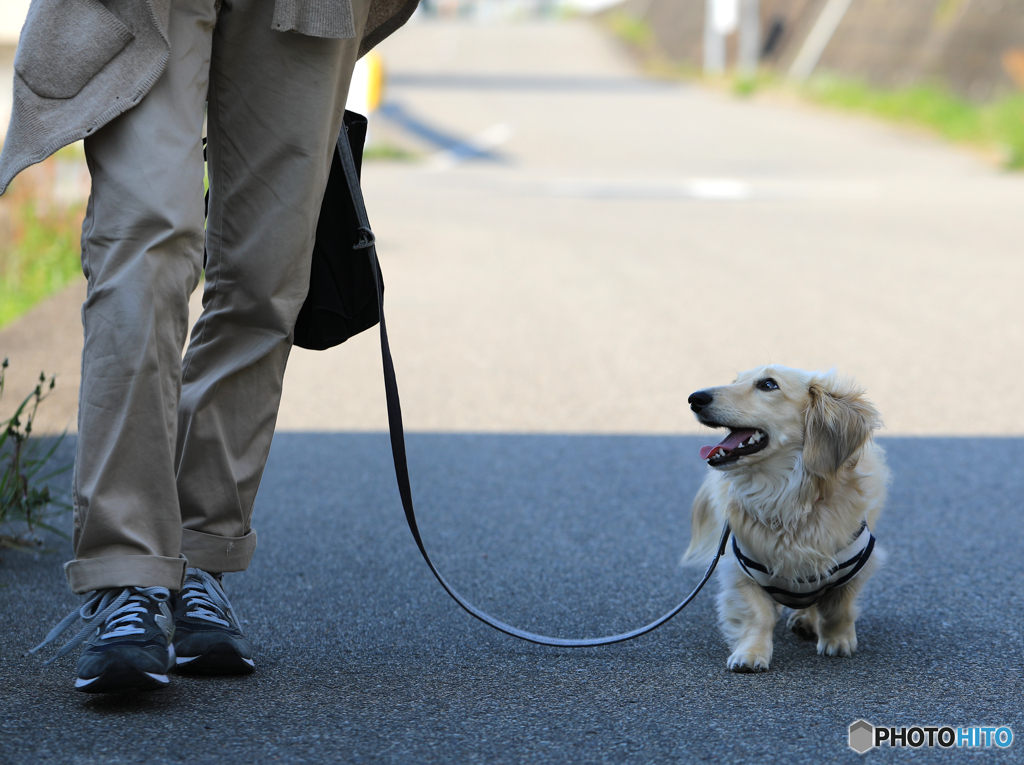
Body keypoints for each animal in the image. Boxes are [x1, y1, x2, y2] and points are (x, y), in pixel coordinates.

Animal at [684, 368, 892, 671]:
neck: (785, 496)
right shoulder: (740, 569)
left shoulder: (857, 565)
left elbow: (838, 609)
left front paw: (837, 640)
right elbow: (758, 615)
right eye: (735, 382)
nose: (694, 398)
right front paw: (751, 653)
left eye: (768, 384)